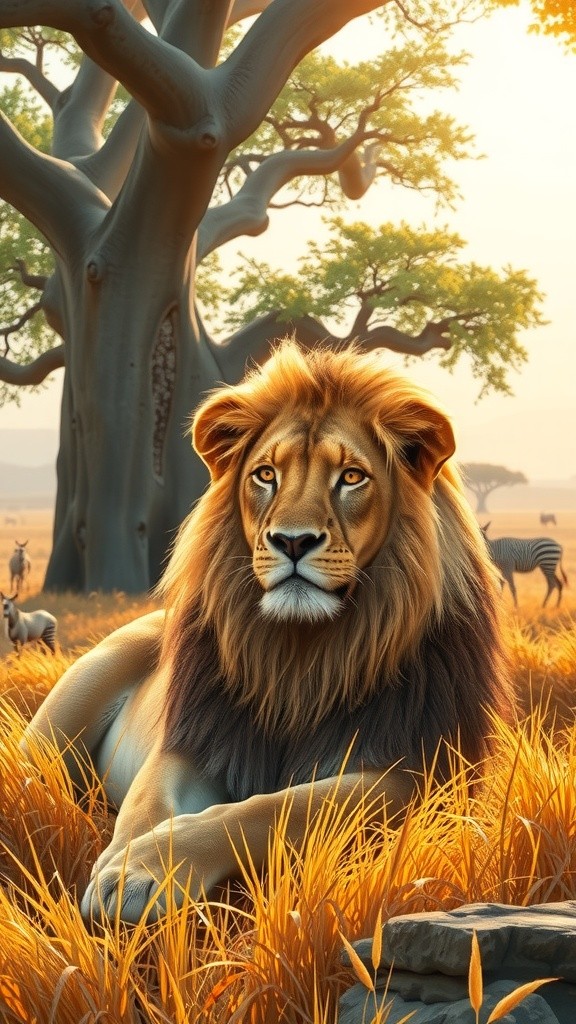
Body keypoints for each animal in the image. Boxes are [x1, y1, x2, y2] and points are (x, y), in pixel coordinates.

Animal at [21, 341, 514, 923]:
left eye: (352, 477)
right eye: (264, 475)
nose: (292, 541)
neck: (297, 656)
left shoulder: (414, 773)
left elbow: (276, 808)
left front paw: (139, 869)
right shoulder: (198, 739)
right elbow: (148, 802)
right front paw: (124, 867)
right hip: (61, 718)